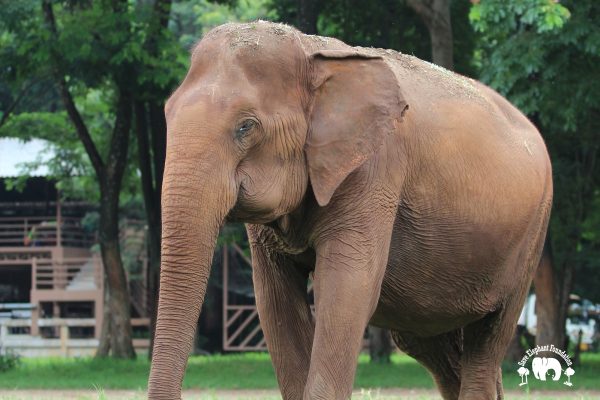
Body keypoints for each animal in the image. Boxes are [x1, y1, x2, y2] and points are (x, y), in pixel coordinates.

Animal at [146, 21, 552, 400]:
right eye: (166, 113)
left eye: (246, 126)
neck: (310, 50)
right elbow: (274, 298)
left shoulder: (375, 167)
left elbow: (346, 287)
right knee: (430, 343)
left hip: (530, 240)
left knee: (489, 335)